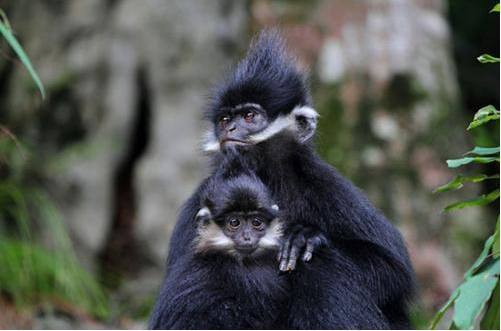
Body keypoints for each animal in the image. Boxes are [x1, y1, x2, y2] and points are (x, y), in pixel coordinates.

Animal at [149, 30, 414, 330]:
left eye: (249, 116)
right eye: (225, 119)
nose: (229, 129)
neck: (264, 175)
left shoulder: (323, 182)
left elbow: (394, 272)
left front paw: (306, 237)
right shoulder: (202, 196)